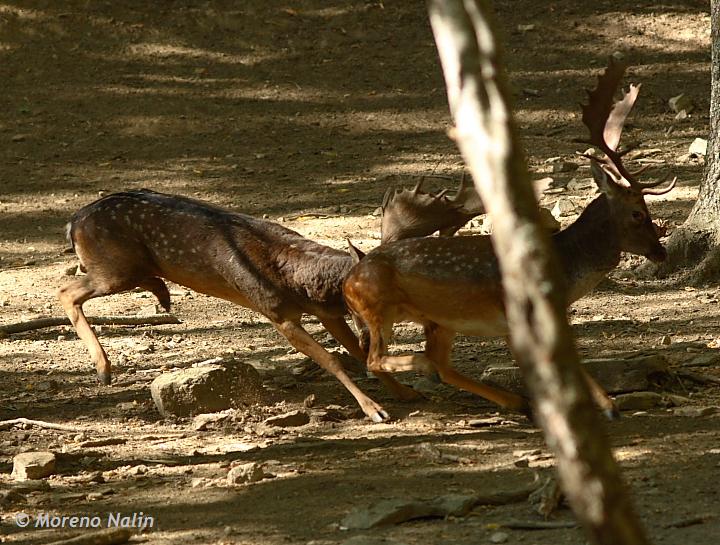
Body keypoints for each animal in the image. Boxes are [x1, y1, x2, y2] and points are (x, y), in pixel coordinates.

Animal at [59, 178, 480, 420]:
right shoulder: (276, 312)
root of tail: (72, 221)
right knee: (66, 289)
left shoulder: (327, 313)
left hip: (121, 267)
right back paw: (104, 368)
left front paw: (406, 393)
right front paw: (374, 410)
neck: (300, 280)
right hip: (114, 268)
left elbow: (358, 355)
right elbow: (333, 360)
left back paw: (161, 296)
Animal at [344, 58, 676, 416]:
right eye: (637, 213)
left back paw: (513, 400)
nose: (661, 252)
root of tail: (347, 283)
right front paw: (604, 405)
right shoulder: (518, 314)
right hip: (379, 309)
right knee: (376, 360)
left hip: (437, 321)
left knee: (439, 365)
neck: (562, 265)